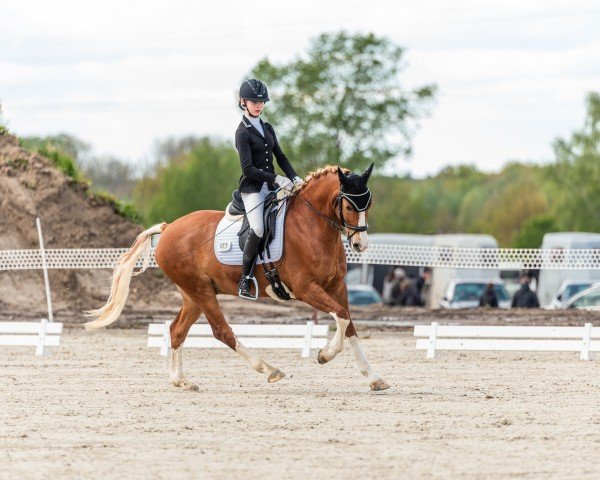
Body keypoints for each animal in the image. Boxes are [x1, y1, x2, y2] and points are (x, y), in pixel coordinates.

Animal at [86, 163, 392, 392]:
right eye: (350, 206)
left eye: (369, 204)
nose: (360, 245)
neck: (311, 227)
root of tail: (169, 227)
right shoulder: (305, 289)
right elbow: (340, 316)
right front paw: (324, 355)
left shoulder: (337, 286)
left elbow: (348, 322)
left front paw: (374, 377)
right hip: (201, 292)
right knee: (222, 332)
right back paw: (269, 369)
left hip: (193, 295)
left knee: (177, 331)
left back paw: (181, 381)